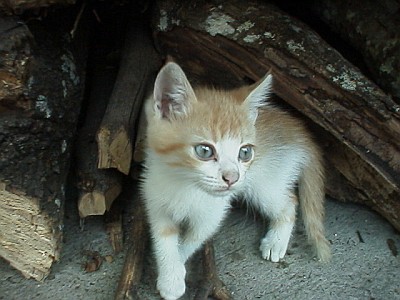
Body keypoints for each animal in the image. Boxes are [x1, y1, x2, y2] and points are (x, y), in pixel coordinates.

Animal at [142, 62, 330, 298]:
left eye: (245, 152)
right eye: (204, 150)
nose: (232, 178)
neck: (185, 185)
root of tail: (299, 130)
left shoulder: (212, 214)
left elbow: (191, 241)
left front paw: (174, 277)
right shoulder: (155, 200)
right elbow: (164, 239)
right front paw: (170, 272)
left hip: (265, 184)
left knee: (289, 202)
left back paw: (275, 242)